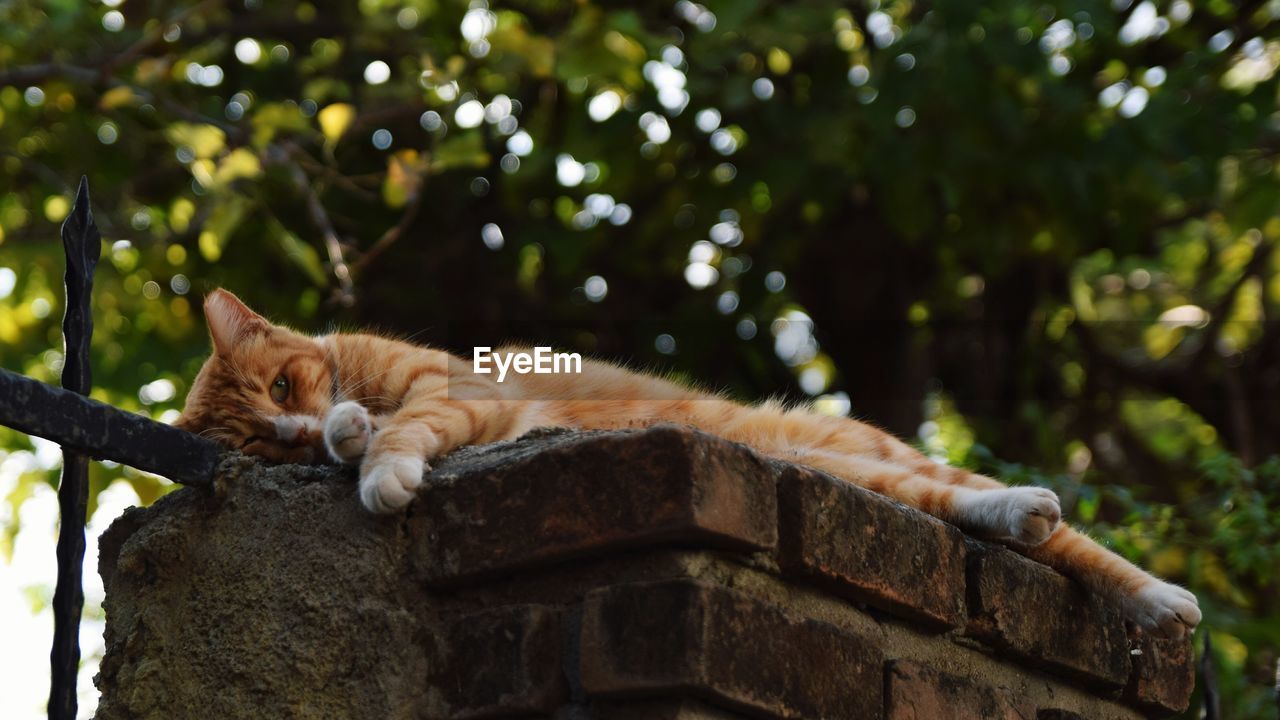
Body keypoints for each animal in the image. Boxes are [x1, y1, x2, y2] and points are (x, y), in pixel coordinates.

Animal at [177, 288, 1198, 635]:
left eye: (280, 388)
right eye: (258, 438)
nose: (296, 436)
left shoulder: (455, 392)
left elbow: (401, 428)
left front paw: (377, 465)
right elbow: (366, 427)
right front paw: (348, 440)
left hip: (883, 459)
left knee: (1056, 534)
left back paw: (1159, 598)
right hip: (871, 482)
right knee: (980, 514)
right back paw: (1024, 515)